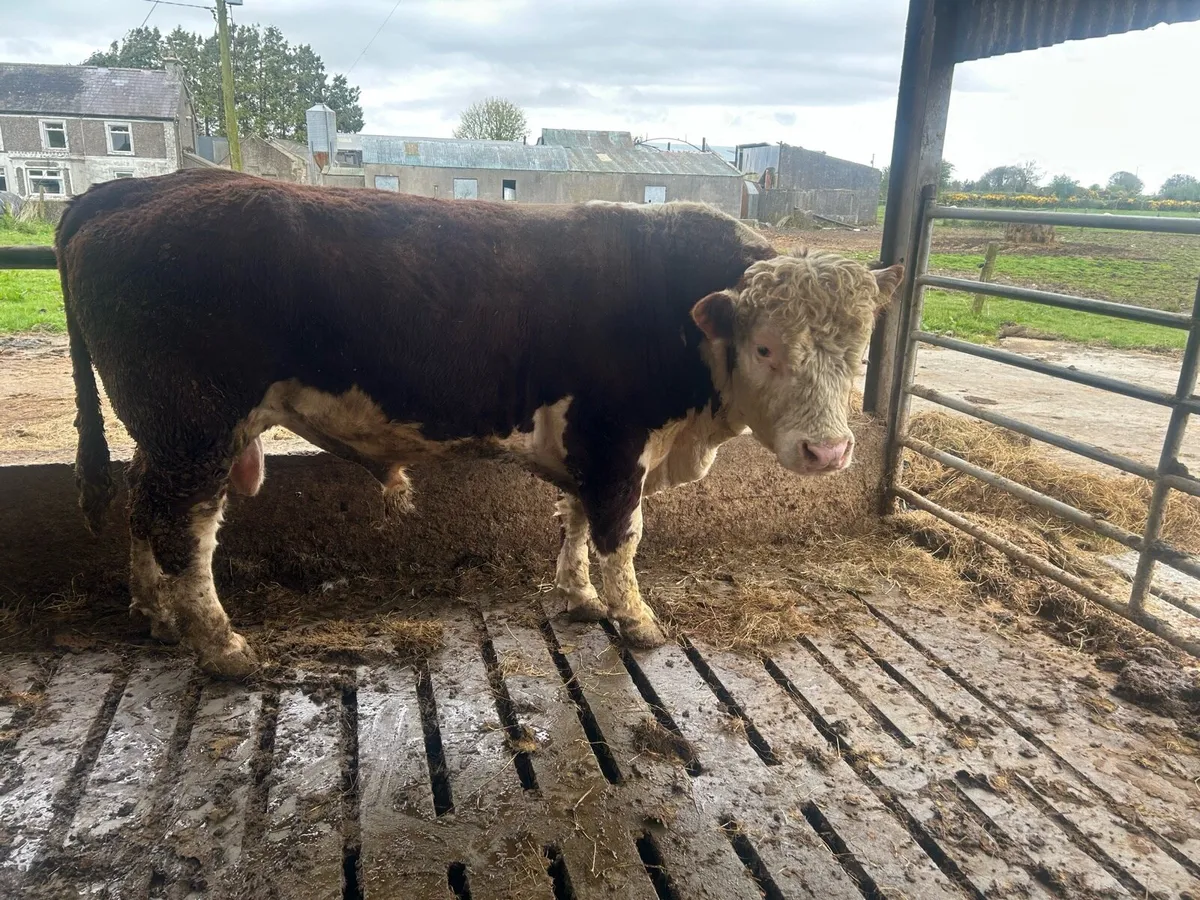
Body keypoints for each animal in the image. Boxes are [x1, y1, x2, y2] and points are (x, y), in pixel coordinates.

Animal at [56, 168, 902, 676]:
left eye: (861, 349)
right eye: (765, 346)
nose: (829, 452)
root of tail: (138, 187)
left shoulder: (589, 444)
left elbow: (575, 518)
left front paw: (579, 595)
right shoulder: (616, 438)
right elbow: (620, 535)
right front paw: (635, 618)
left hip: (166, 435)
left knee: (142, 506)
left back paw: (154, 612)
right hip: (195, 426)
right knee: (186, 532)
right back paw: (221, 642)